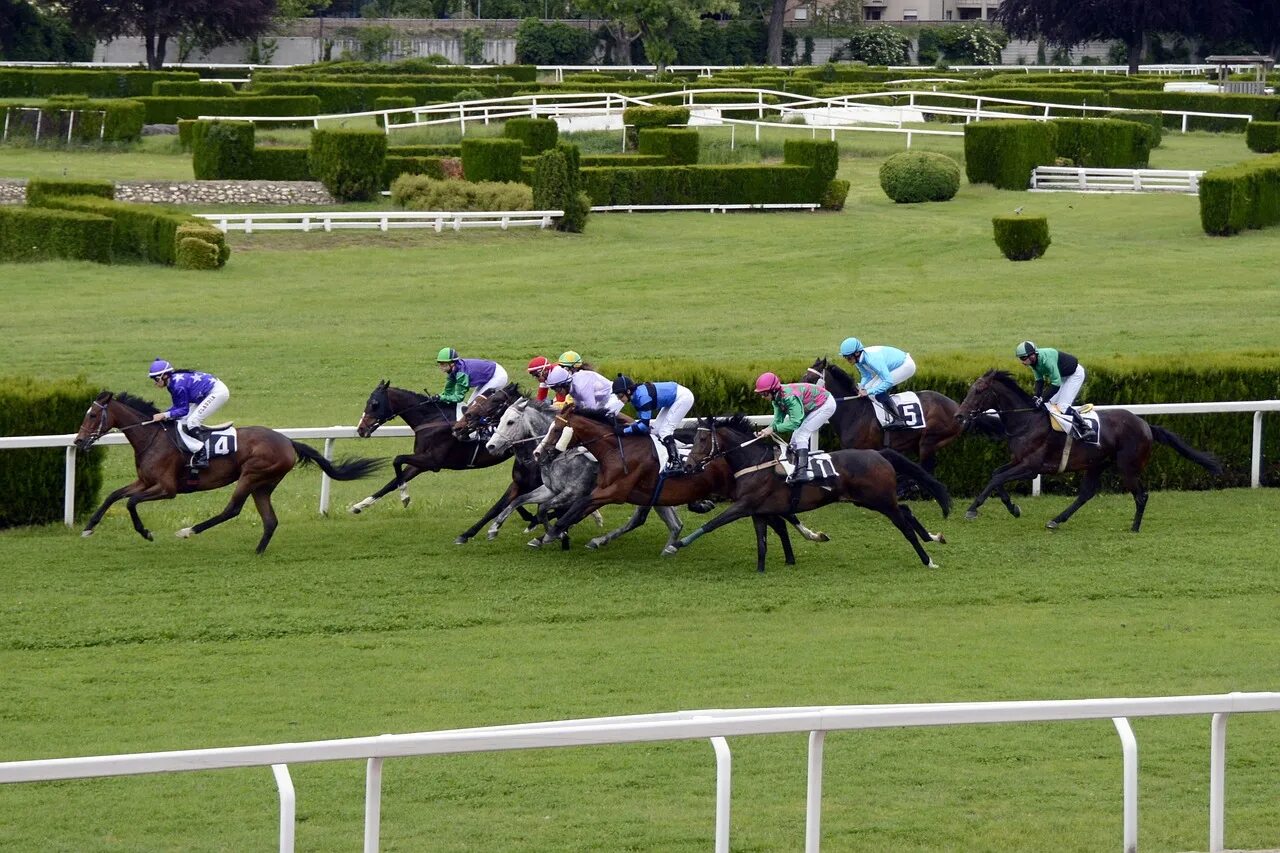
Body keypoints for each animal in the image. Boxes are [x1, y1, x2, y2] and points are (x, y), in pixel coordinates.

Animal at [72, 389, 381, 550]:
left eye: (92, 415)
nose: (77, 441)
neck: (154, 437)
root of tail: (288, 441)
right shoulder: (145, 481)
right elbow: (114, 495)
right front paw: (88, 528)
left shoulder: (167, 489)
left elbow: (131, 502)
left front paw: (145, 532)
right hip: (263, 484)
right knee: (270, 520)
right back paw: (257, 552)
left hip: (251, 475)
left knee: (232, 509)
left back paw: (188, 531)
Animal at [529, 407, 829, 571]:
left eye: (556, 430)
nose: (538, 453)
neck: (617, 449)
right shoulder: (622, 492)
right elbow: (574, 509)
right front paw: (551, 533)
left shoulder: (612, 492)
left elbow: (576, 508)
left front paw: (552, 533)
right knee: (778, 520)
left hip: (746, 495)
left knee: (782, 517)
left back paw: (809, 538)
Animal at [670, 412, 952, 568]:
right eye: (692, 438)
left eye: (702, 439)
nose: (689, 465)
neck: (754, 462)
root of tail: (878, 453)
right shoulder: (757, 510)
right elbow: (762, 544)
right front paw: (761, 570)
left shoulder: (743, 506)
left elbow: (712, 523)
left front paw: (677, 545)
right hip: (869, 499)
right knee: (905, 509)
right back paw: (934, 537)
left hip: (880, 500)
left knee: (904, 524)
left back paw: (928, 560)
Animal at [962, 368, 1218, 527]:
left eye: (978, 391)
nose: (959, 415)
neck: (1027, 421)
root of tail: (1146, 425)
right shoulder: (1019, 461)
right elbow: (996, 475)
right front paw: (1012, 507)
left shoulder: (1031, 467)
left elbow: (997, 479)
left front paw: (973, 509)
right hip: (1097, 464)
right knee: (1086, 493)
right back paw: (1056, 520)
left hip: (1127, 467)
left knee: (1141, 495)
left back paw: (1134, 527)